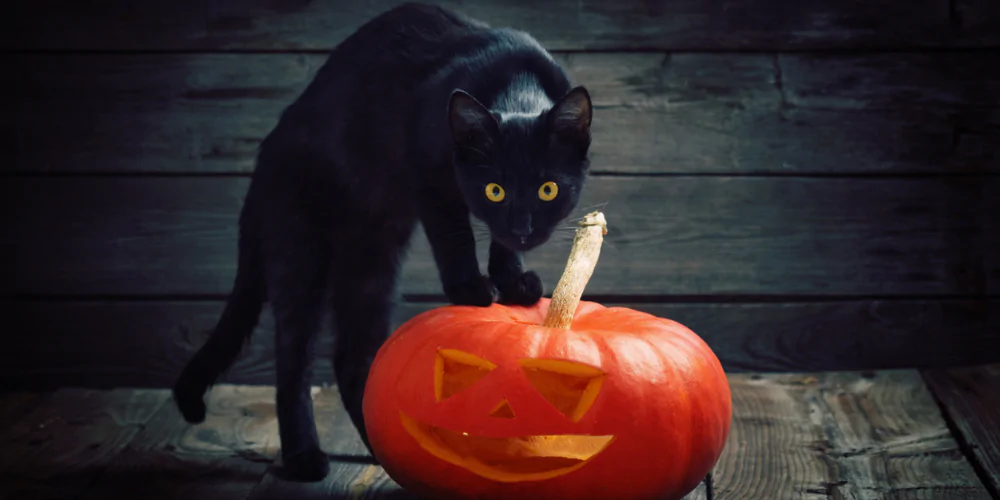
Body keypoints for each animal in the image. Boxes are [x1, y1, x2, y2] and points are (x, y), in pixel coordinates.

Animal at [173, 1, 592, 482]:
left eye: (548, 189)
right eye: (494, 190)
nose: (524, 227)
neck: (514, 82)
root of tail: (266, 154)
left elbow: (499, 243)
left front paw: (515, 282)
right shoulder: (429, 174)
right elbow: (456, 235)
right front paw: (471, 289)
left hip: (372, 261)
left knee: (351, 358)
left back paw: (382, 448)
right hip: (300, 249)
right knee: (293, 359)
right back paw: (304, 458)